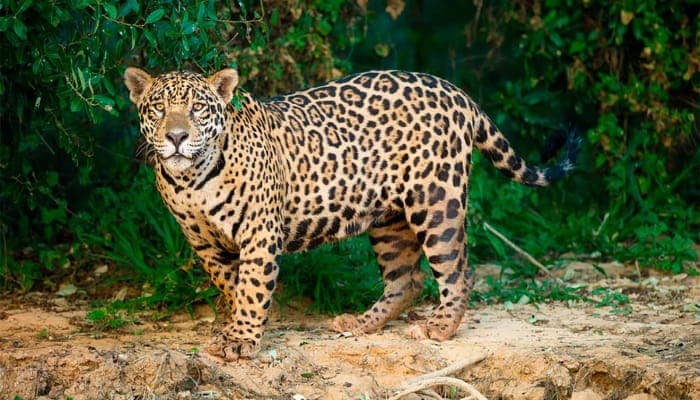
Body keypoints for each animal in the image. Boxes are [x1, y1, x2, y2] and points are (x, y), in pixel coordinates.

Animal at [124, 67, 579, 361]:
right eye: (158, 109)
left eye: (198, 109)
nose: (176, 137)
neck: (192, 179)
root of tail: (455, 90)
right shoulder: (203, 244)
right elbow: (234, 285)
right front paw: (238, 327)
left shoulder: (259, 232)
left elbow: (252, 287)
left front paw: (241, 340)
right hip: (389, 218)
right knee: (406, 280)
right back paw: (360, 324)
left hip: (437, 200)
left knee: (458, 270)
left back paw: (440, 327)